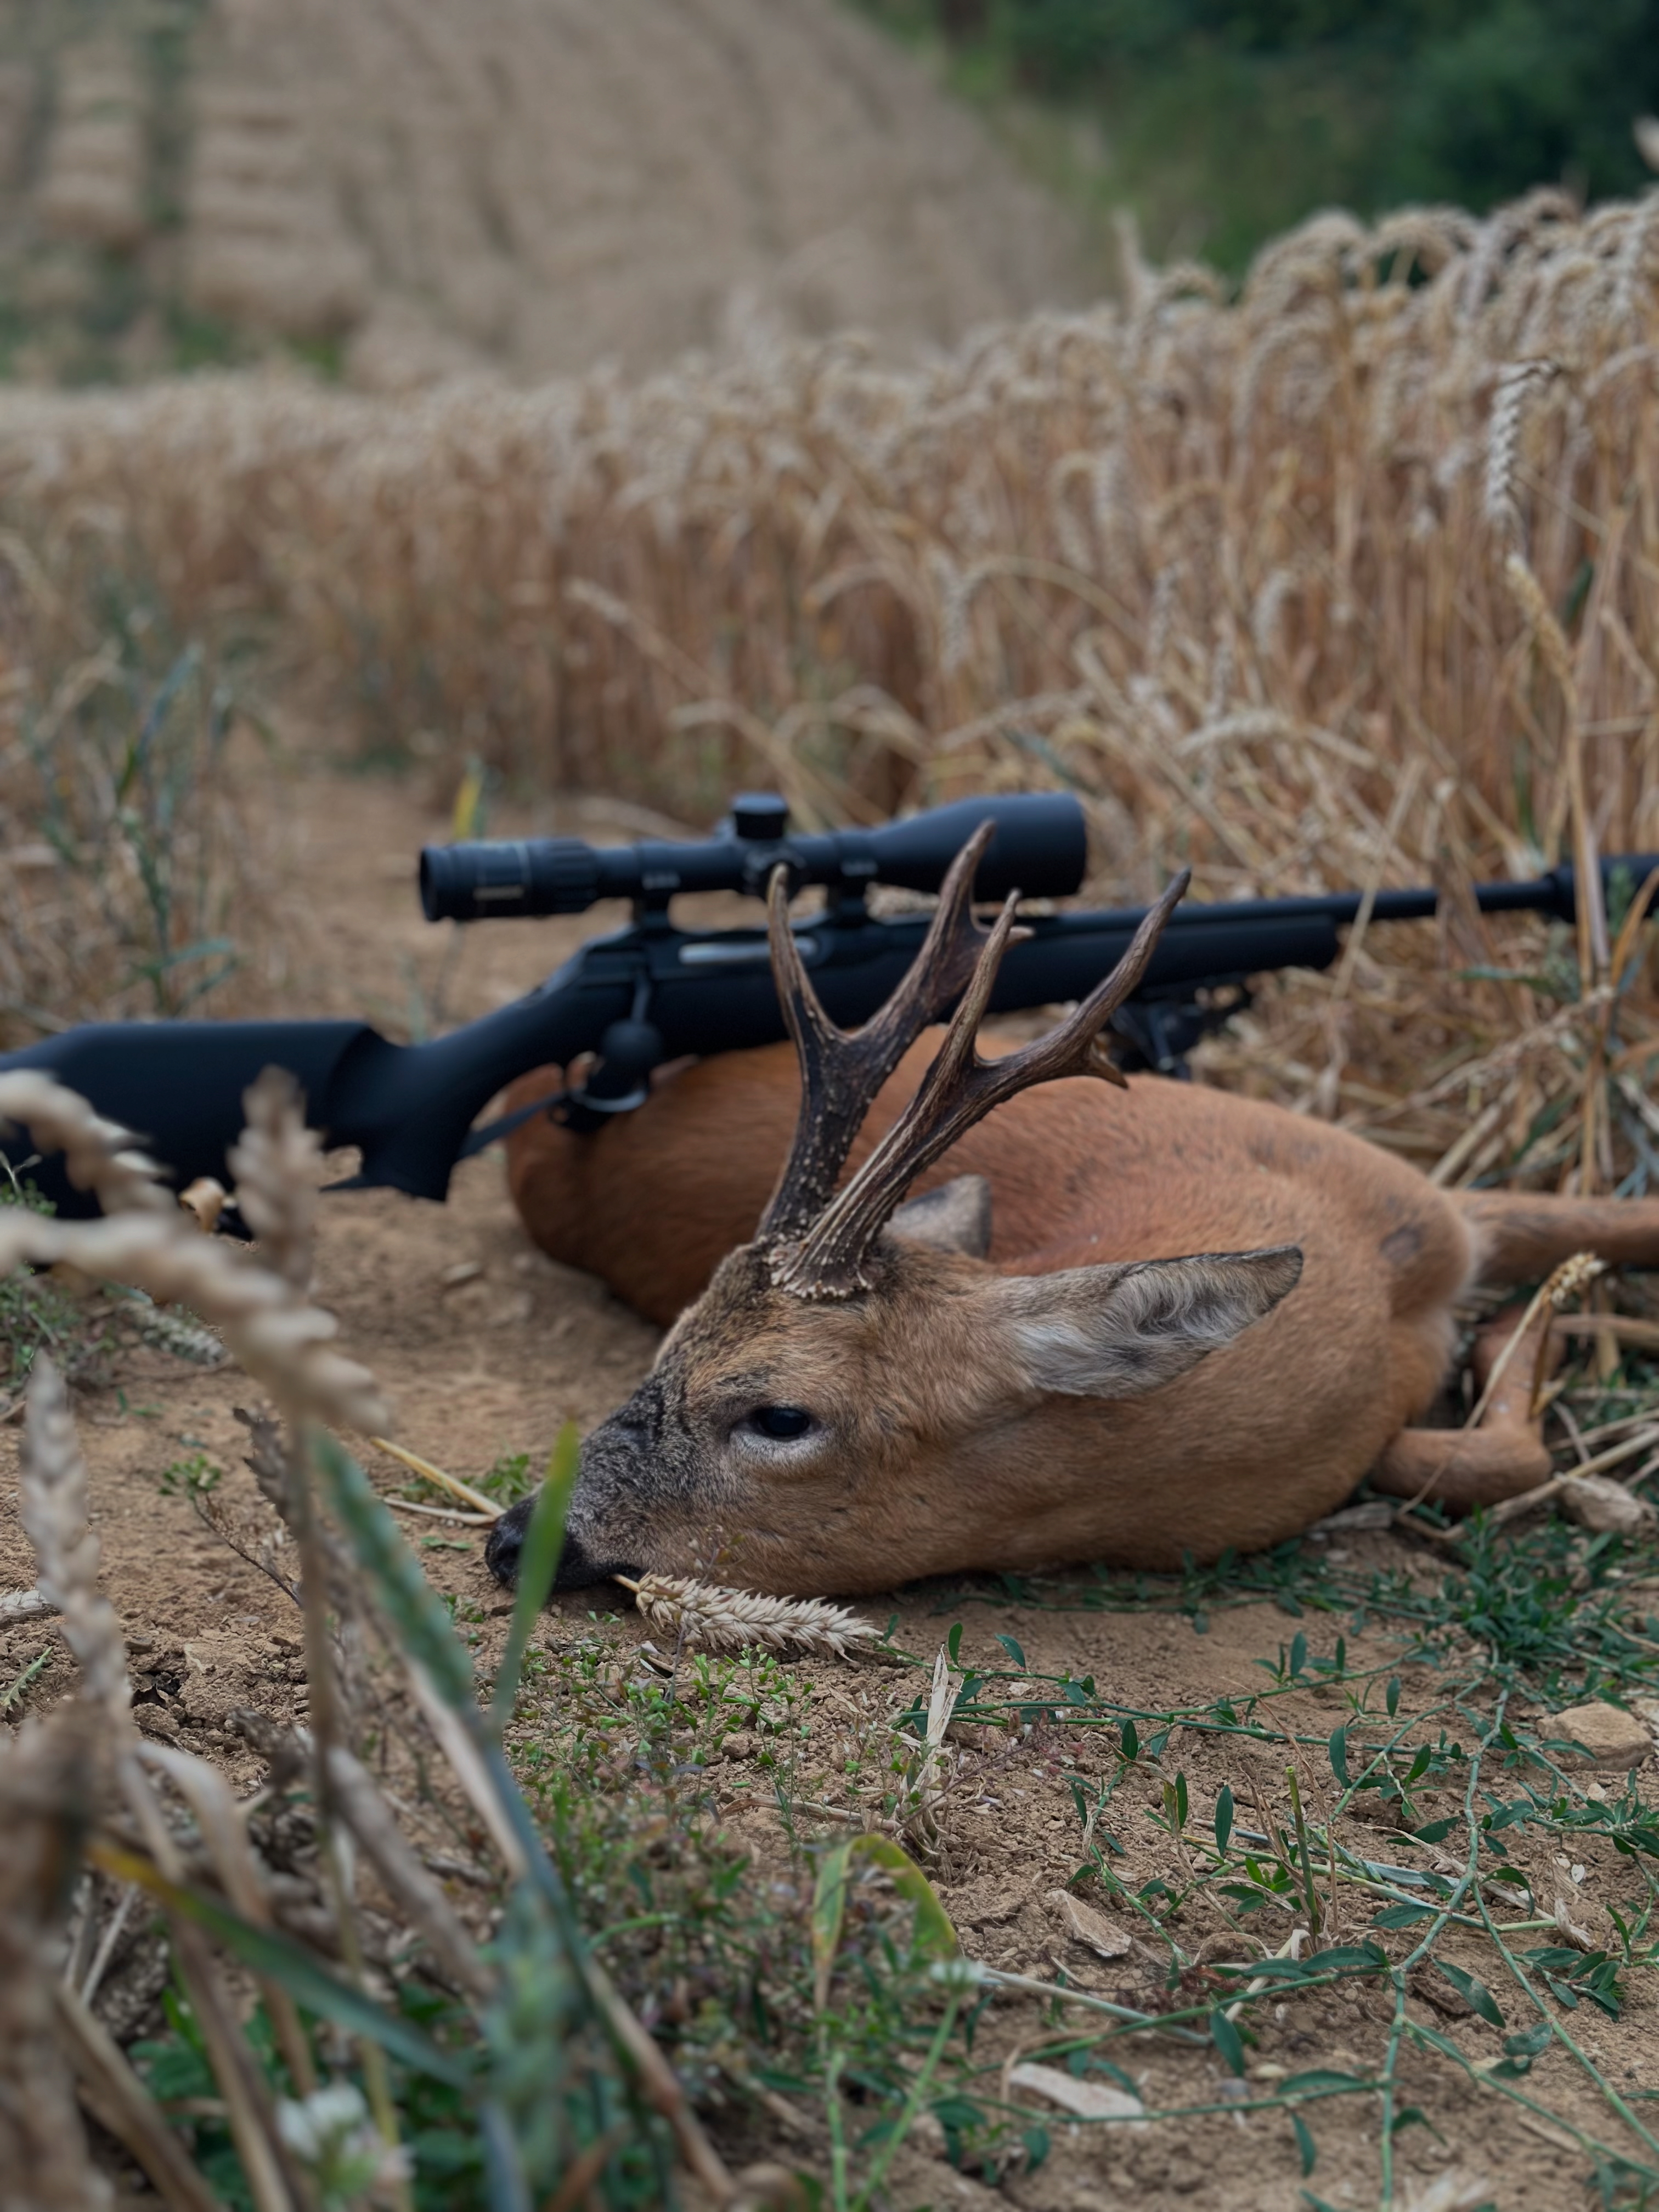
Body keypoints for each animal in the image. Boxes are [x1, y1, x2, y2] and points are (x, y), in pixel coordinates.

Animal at [486, 825, 1659, 1598]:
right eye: (664, 1347)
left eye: (778, 1416)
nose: (512, 1538)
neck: (1364, 1300)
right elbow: (1457, 1457)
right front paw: (1530, 1330)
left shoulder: (1433, 1196)